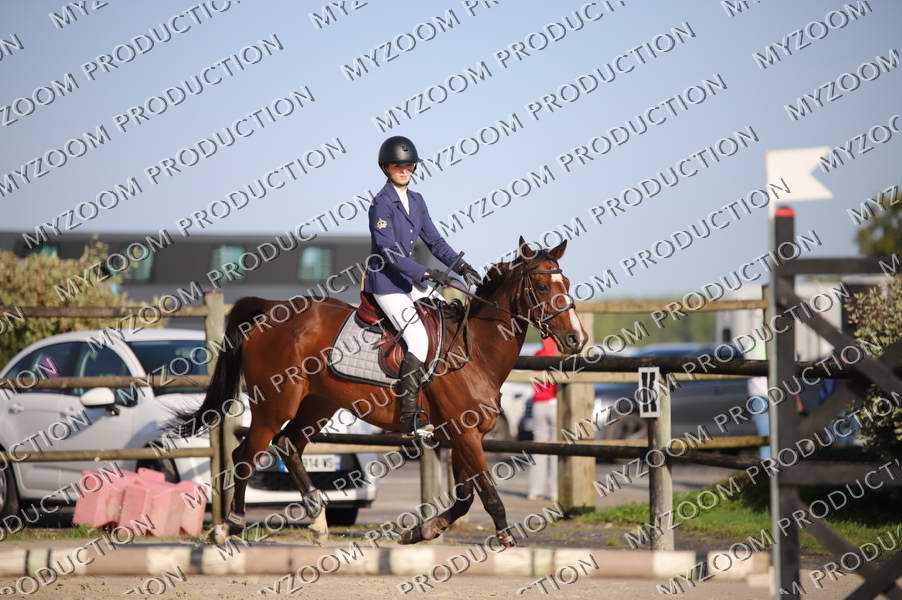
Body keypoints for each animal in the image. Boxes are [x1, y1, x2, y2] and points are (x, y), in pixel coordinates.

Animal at [167, 236, 588, 546]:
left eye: (566, 284)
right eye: (540, 285)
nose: (576, 339)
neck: (476, 351)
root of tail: (272, 310)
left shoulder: (460, 435)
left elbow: (465, 497)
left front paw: (422, 530)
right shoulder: (465, 433)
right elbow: (487, 494)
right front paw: (504, 537)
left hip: (316, 405)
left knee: (289, 445)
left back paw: (317, 519)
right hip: (275, 405)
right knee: (246, 455)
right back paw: (229, 525)